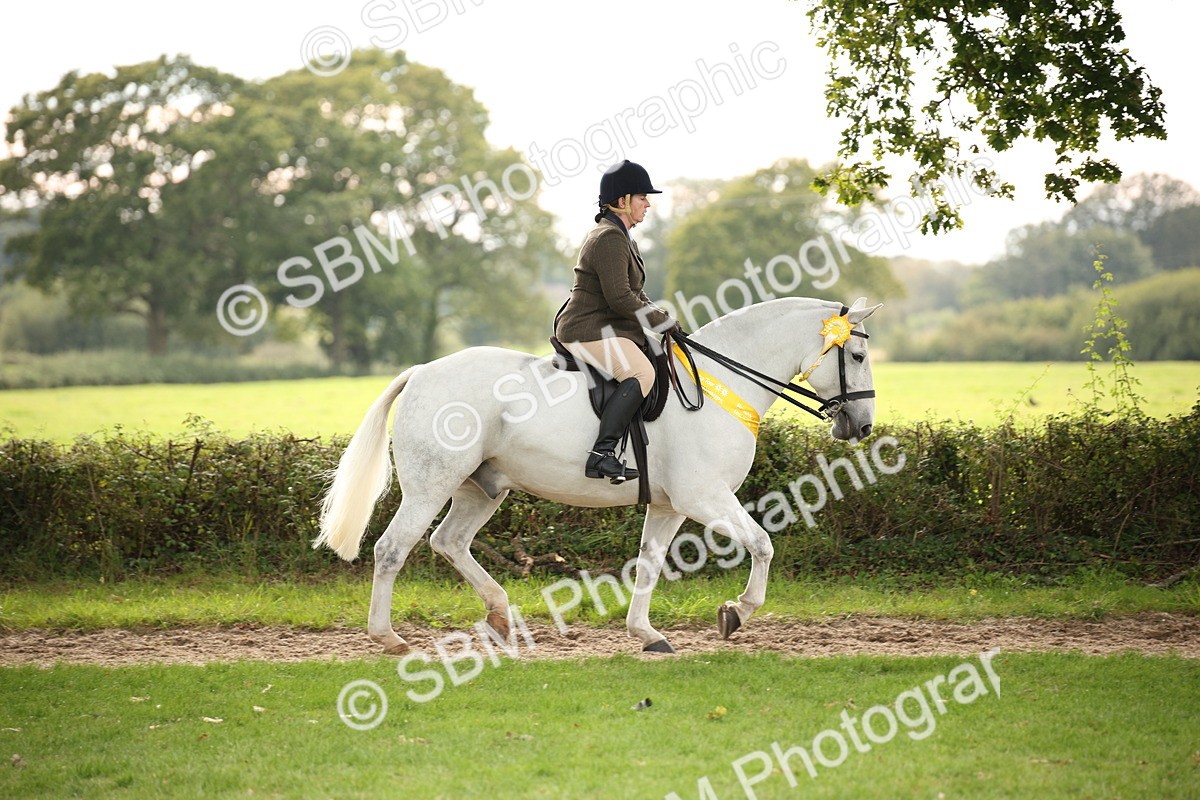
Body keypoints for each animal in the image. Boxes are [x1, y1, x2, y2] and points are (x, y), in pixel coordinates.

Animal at [314, 296, 881, 654]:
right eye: (856, 354)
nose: (862, 425)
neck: (724, 383)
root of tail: (421, 373)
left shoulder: (670, 506)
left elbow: (649, 563)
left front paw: (646, 634)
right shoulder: (704, 497)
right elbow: (763, 544)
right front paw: (736, 613)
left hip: (482, 488)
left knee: (449, 542)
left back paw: (499, 616)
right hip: (431, 485)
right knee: (393, 549)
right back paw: (387, 638)